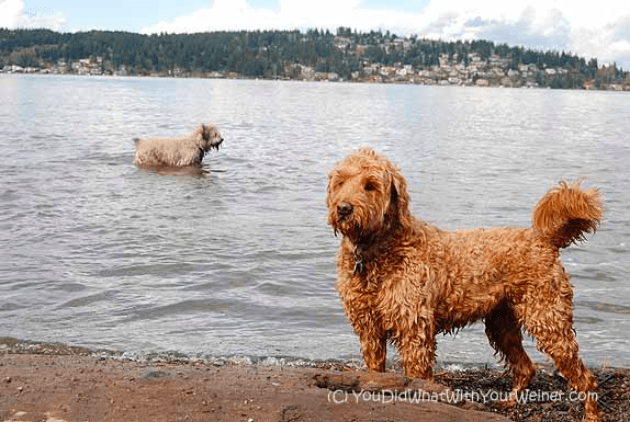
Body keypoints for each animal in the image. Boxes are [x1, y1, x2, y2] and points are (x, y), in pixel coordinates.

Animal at [328, 147, 604, 420]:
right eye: (340, 182)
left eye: (371, 185)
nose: (343, 208)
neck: (376, 251)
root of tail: (543, 240)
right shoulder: (368, 328)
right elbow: (375, 370)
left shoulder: (414, 330)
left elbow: (417, 376)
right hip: (502, 325)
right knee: (526, 367)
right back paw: (509, 403)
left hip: (548, 320)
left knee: (586, 379)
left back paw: (591, 415)